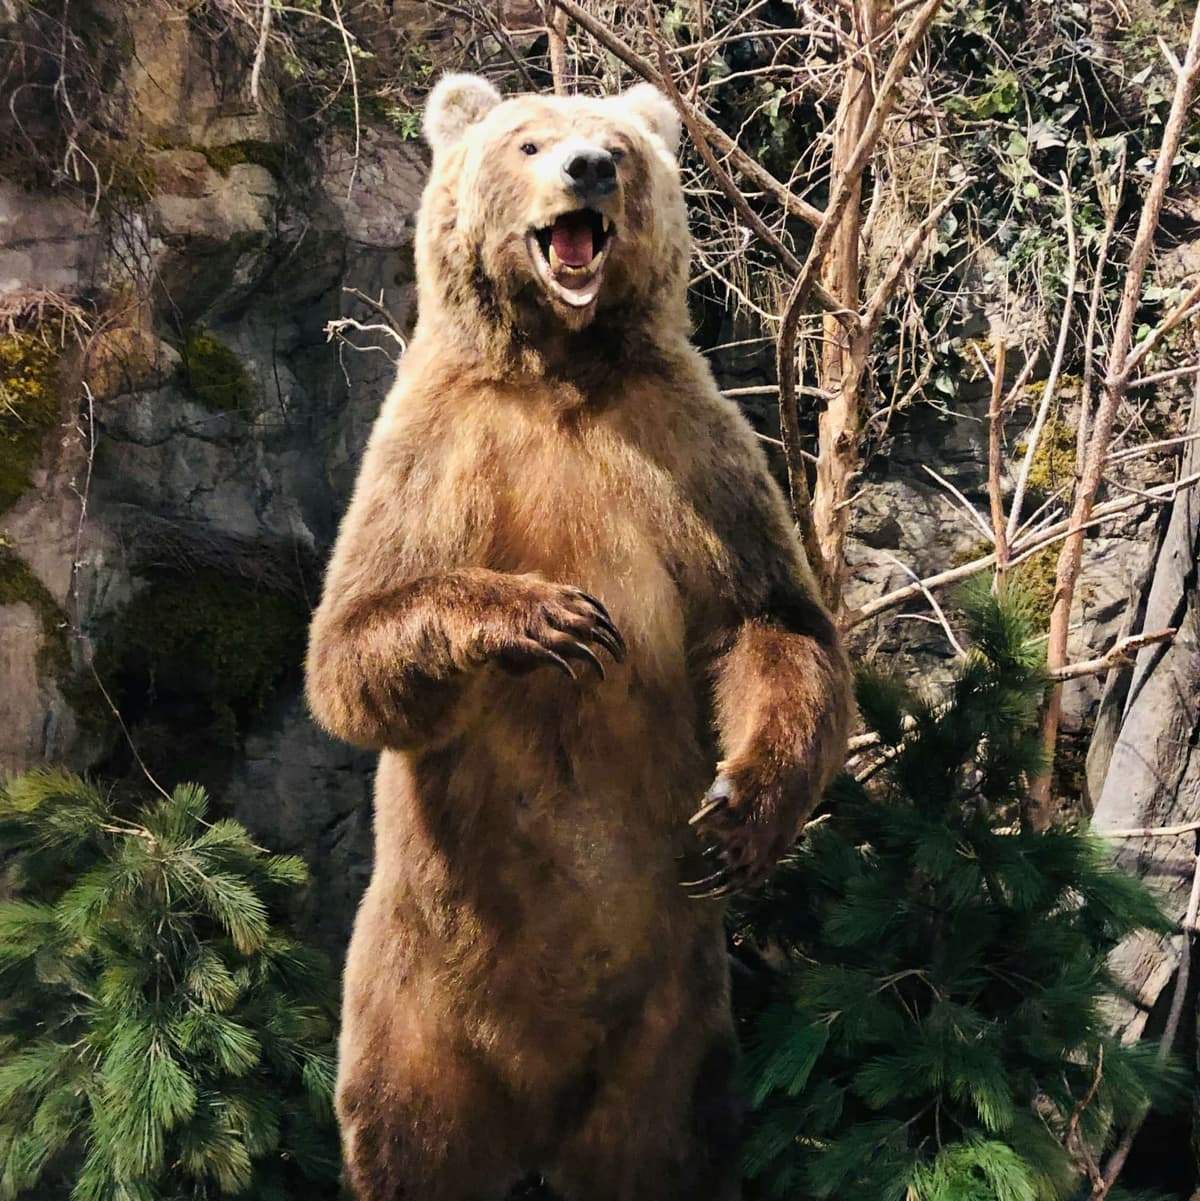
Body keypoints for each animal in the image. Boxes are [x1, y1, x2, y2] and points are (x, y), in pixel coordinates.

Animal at [305, 73, 852, 1201]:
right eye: (528, 140)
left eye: (621, 147)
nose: (588, 168)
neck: (559, 365)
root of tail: (538, 1117)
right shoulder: (431, 452)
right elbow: (351, 645)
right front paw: (551, 618)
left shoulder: (690, 447)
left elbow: (771, 619)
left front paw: (737, 814)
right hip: (409, 1004)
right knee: (405, 1138)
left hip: (673, 1025)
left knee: (673, 1143)